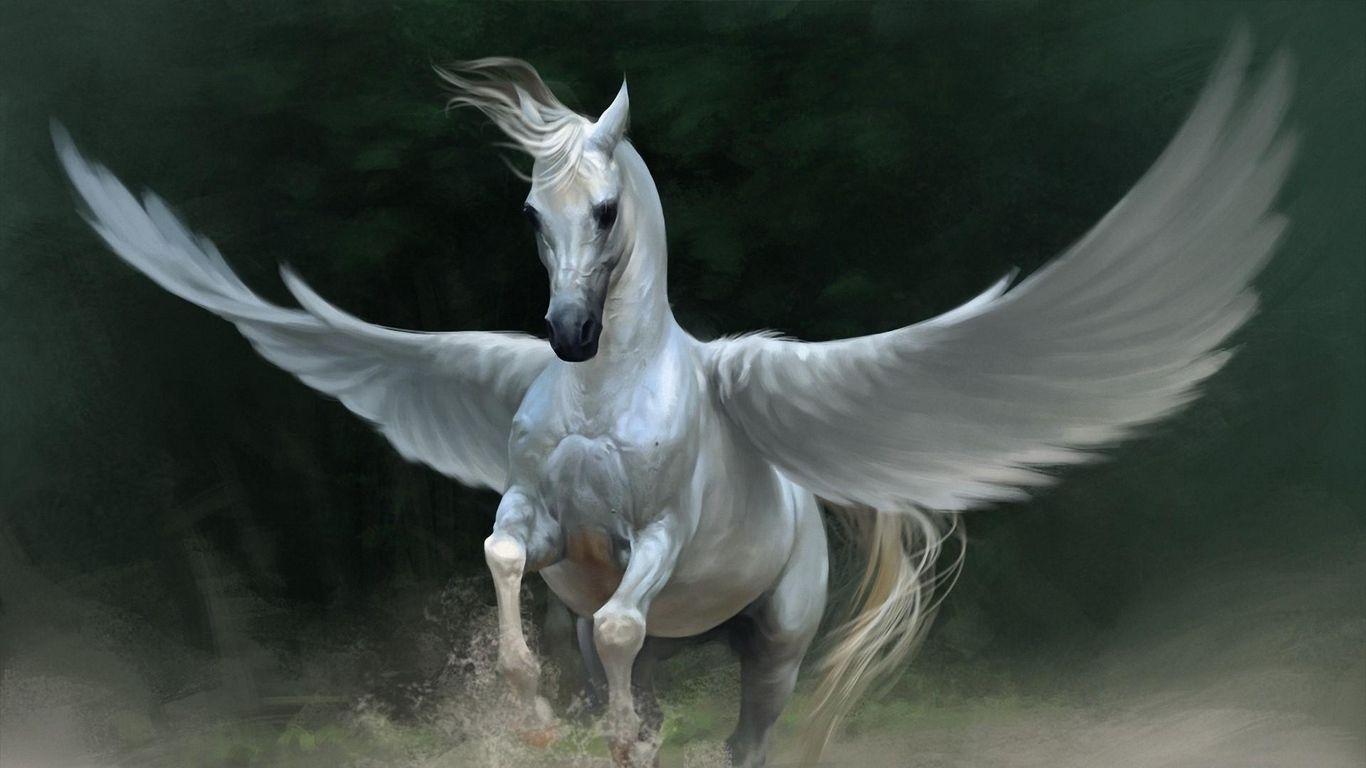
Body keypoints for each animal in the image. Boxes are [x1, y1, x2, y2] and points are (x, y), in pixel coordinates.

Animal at [54, 28, 1292, 767]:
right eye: (531, 212)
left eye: (605, 211)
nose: (565, 332)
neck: (606, 391)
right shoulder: (540, 519)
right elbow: (514, 569)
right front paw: (532, 710)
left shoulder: (653, 535)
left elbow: (617, 618)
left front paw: (602, 736)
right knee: (631, 657)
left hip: (775, 646)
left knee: (736, 728)